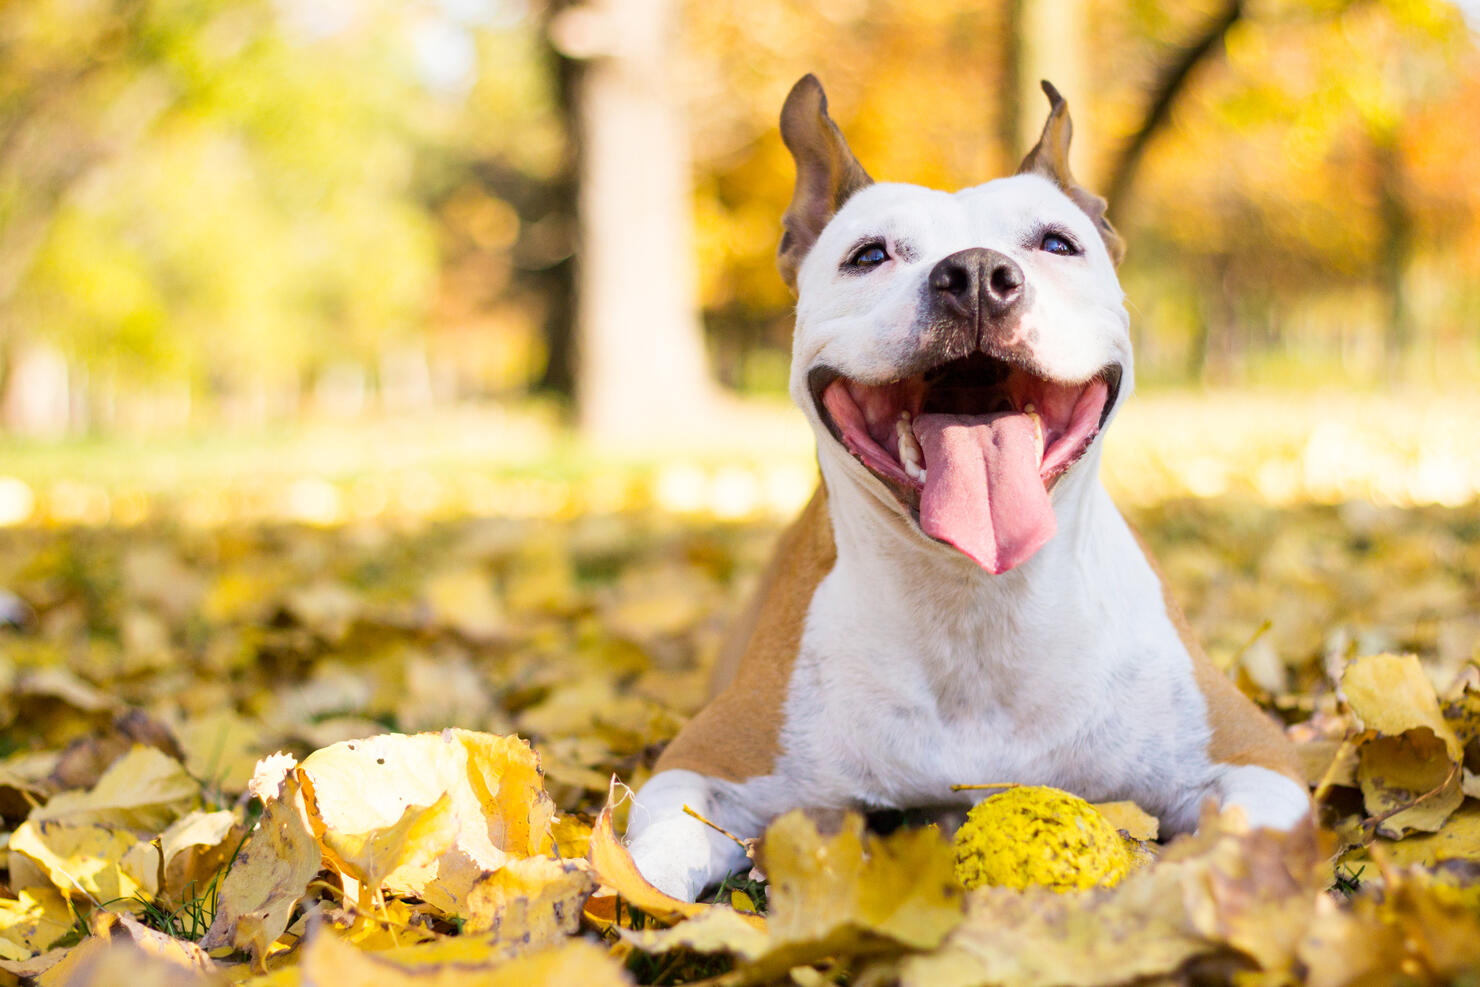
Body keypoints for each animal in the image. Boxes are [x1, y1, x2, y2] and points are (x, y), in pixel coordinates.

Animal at [624, 75, 1308, 905]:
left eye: (1056, 243)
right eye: (869, 255)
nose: (977, 273)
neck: (976, 602)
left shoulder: (1258, 759)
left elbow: (1240, 842)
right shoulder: (701, 766)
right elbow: (642, 862)